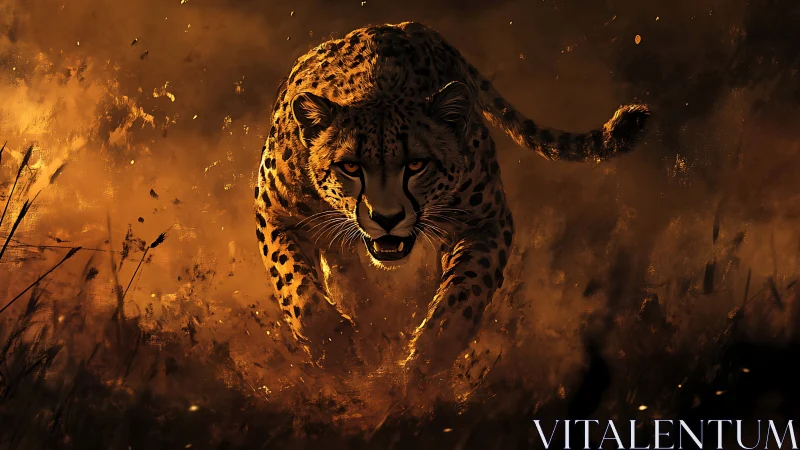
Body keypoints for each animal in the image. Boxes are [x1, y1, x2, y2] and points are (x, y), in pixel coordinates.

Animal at [254, 21, 649, 401]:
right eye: (350, 167)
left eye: (416, 164)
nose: (386, 219)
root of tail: (409, 24)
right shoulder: (273, 212)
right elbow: (296, 289)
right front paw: (337, 353)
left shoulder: (487, 221)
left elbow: (464, 296)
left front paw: (422, 367)